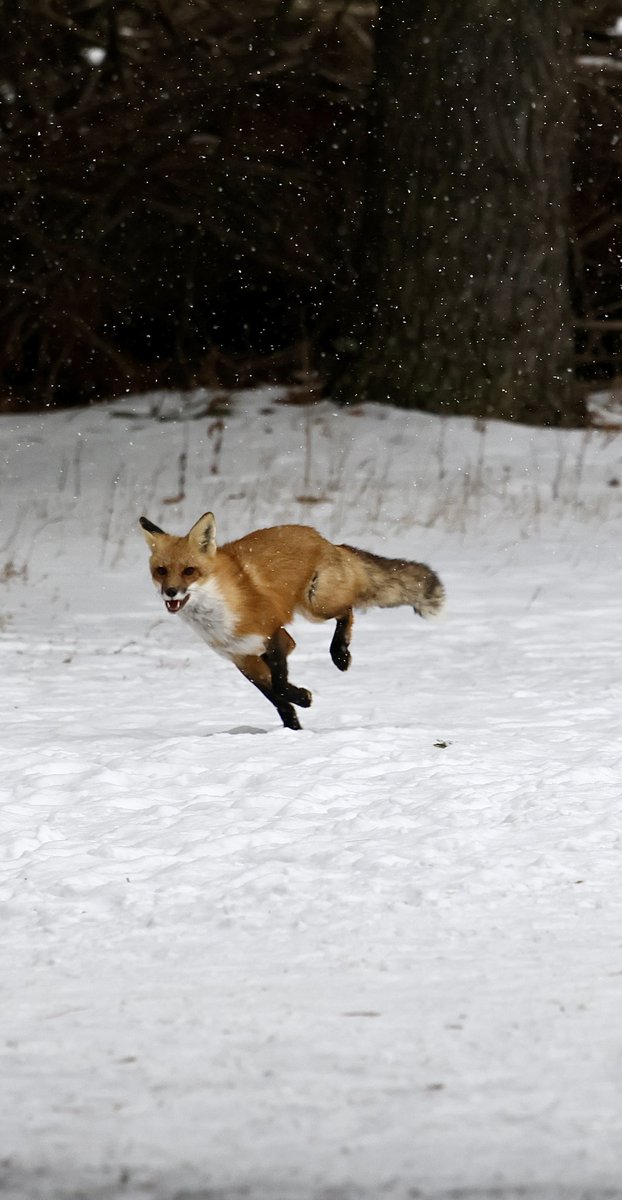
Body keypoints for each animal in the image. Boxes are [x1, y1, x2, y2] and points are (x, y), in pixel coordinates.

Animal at [139, 512, 444, 730]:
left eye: (189, 571)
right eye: (161, 571)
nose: (170, 592)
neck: (219, 616)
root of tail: (324, 539)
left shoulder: (276, 635)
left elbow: (281, 686)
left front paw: (303, 698)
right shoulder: (243, 658)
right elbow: (277, 700)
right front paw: (293, 730)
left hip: (316, 606)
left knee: (348, 611)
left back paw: (340, 654)